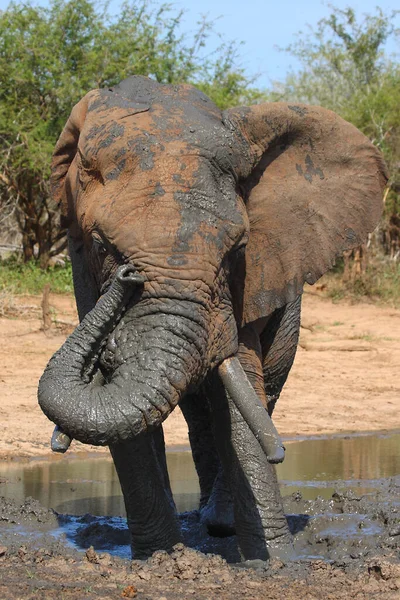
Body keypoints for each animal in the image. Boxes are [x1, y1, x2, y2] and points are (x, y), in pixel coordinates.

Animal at [38, 76, 388, 564]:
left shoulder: (246, 282)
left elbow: (243, 394)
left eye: (238, 250)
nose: (128, 279)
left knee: (261, 391)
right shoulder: (80, 266)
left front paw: (275, 564)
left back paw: (219, 523)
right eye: (102, 245)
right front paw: (159, 559)